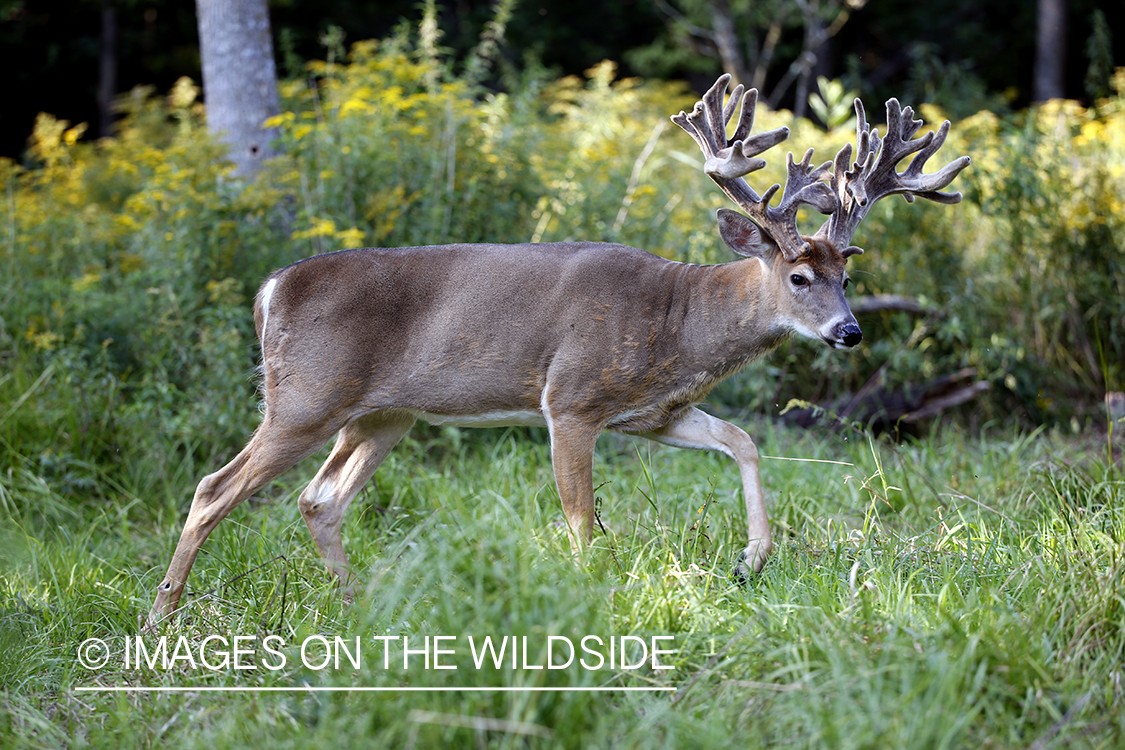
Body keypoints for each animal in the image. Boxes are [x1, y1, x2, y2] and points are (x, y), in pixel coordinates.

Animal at [142, 74, 967, 629]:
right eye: (798, 276)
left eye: (847, 275)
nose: (848, 332)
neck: (678, 319)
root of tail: (271, 287)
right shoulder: (569, 399)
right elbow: (582, 518)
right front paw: (594, 605)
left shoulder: (654, 412)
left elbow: (743, 438)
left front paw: (750, 561)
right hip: (305, 396)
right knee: (214, 487)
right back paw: (160, 619)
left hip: (382, 415)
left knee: (320, 500)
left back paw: (358, 608)